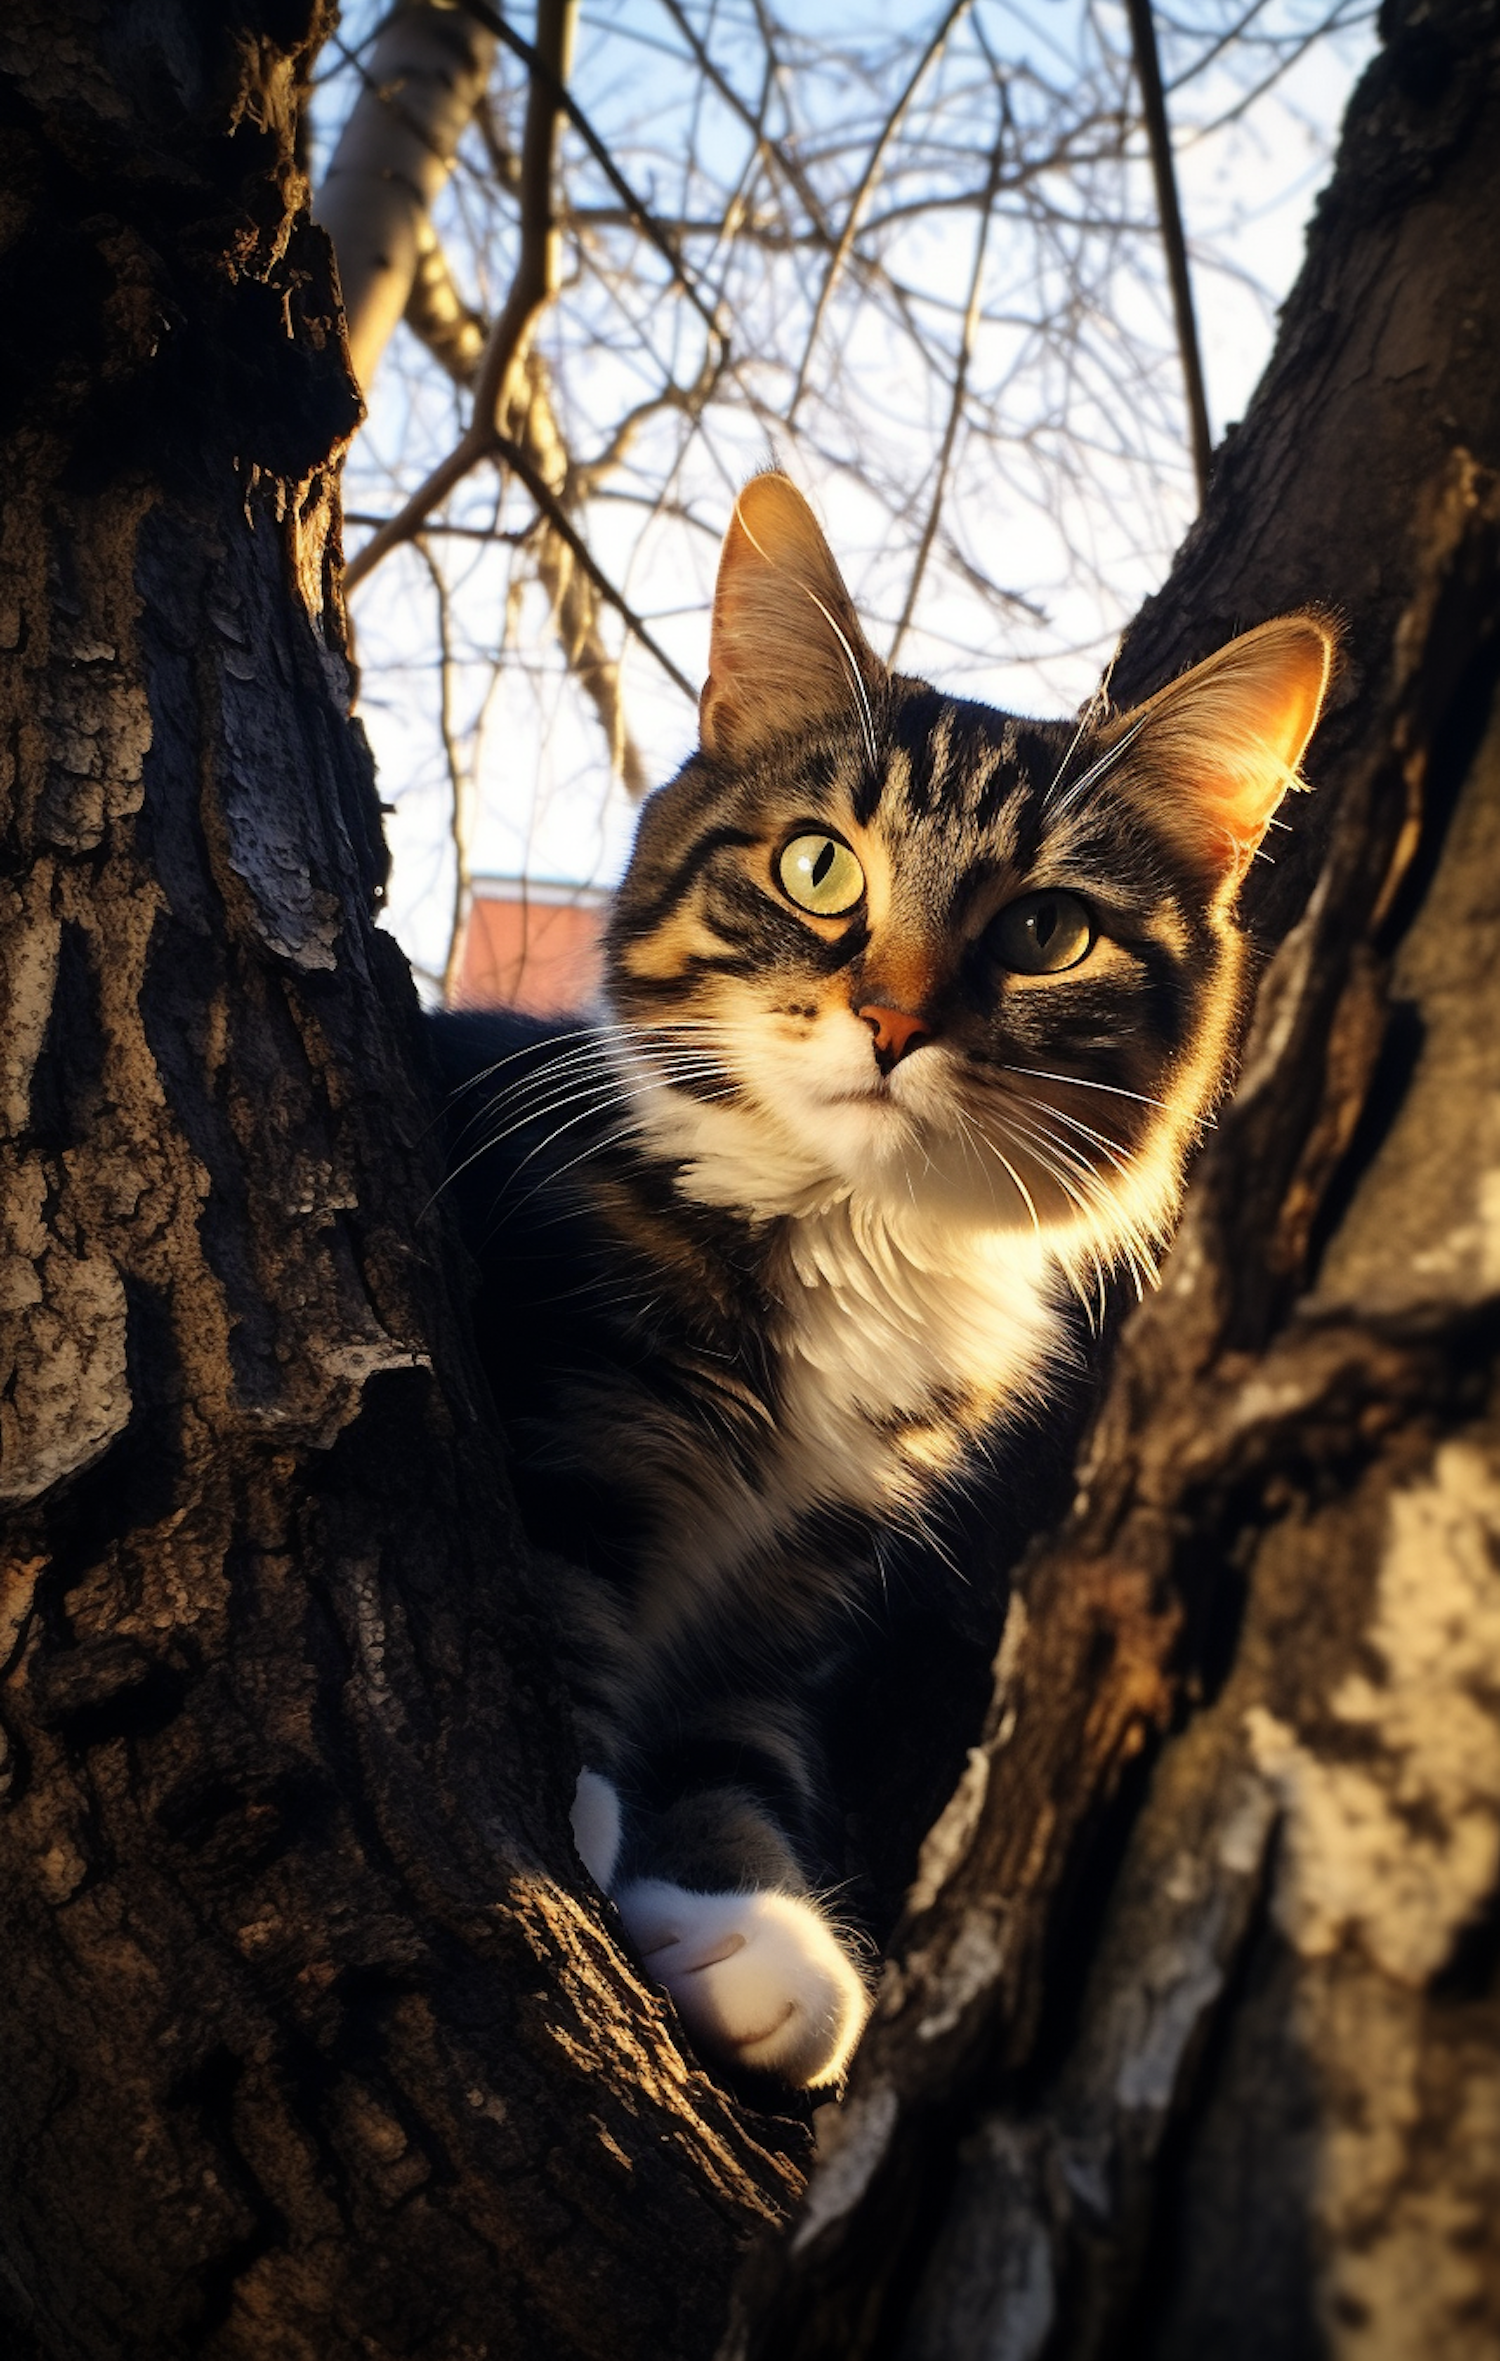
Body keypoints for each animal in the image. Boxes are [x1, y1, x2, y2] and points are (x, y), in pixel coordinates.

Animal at [434, 474, 1341, 2087]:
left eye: (1046, 932)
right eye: (819, 866)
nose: (894, 1020)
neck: (851, 1237)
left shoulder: (794, 1594)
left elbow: (738, 1753)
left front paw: (750, 1936)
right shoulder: (568, 1396)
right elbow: (558, 1588)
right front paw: (586, 1815)